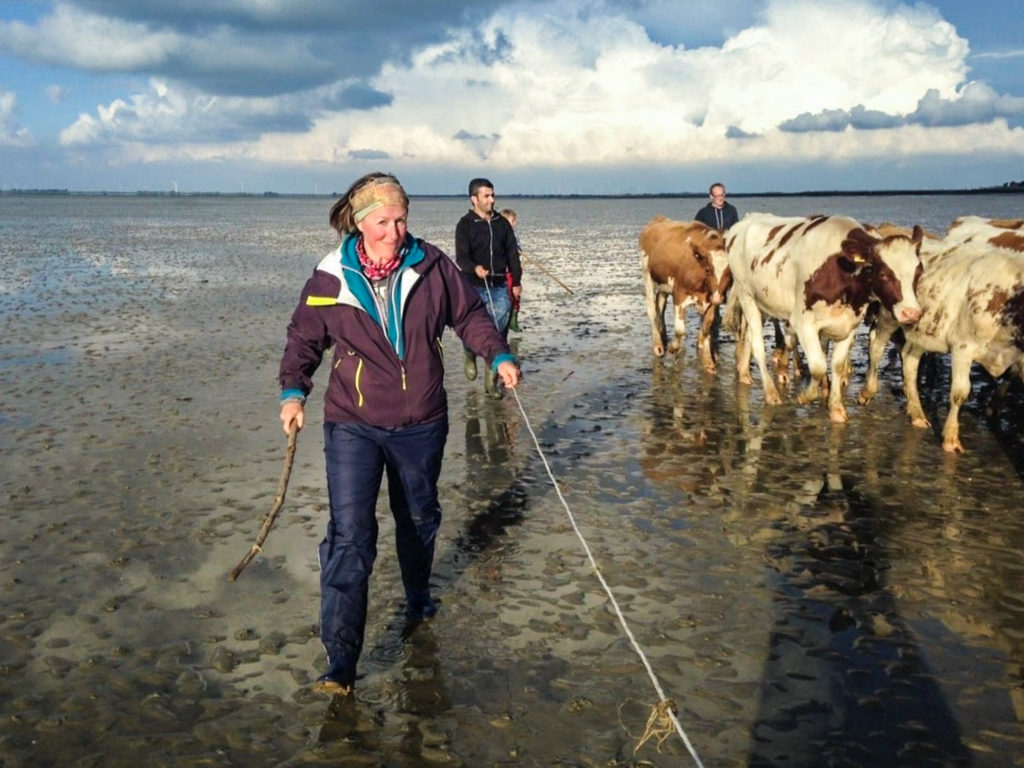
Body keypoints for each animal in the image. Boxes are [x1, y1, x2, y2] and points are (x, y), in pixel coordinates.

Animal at [634, 217, 733, 372]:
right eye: (708, 270)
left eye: (729, 273)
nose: (719, 298)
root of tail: (659, 219)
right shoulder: (679, 296)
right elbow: (680, 330)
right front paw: (672, 348)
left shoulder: (710, 301)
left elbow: (706, 328)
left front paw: (708, 362)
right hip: (647, 276)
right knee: (651, 309)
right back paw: (658, 345)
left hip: (664, 285)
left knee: (660, 305)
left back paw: (663, 335)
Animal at [724, 214, 925, 423]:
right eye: (884, 274)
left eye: (919, 271)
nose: (912, 313)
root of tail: (749, 218)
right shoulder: (803, 323)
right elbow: (818, 366)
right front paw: (805, 396)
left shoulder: (849, 325)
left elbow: (836, 365)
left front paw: (836, 407)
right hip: (746, 295)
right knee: (757, 344)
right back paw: (771, 393)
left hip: (763, 302)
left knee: (748, 337)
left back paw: (745, 372)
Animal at [856, 217, 1024, 450]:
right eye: (884, 274)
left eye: (919, 272)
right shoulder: (963, 347)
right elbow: (959, 393)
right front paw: (951, 438)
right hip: (889, 316)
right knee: (876, 346)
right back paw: (868, 391)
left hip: (921, 327)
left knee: (909, 360)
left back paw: (917, 412)